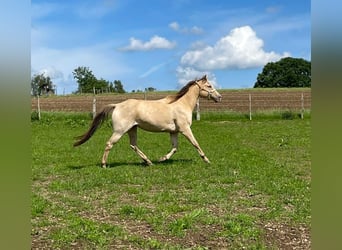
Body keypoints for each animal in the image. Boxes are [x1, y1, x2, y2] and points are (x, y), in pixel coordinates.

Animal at [73, 74, 222, 168]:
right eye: (209, 86)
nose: (219, 97)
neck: (181, 104)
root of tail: (117, 105)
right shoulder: (185, 129)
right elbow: (195, 144)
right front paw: (207, 160)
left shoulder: (174, 132)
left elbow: (175, 147)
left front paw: (162, 158)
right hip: (120, 131)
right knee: (110, 144)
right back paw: (104, 165)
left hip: (132, 129)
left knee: (133, 145)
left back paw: (149, 162)